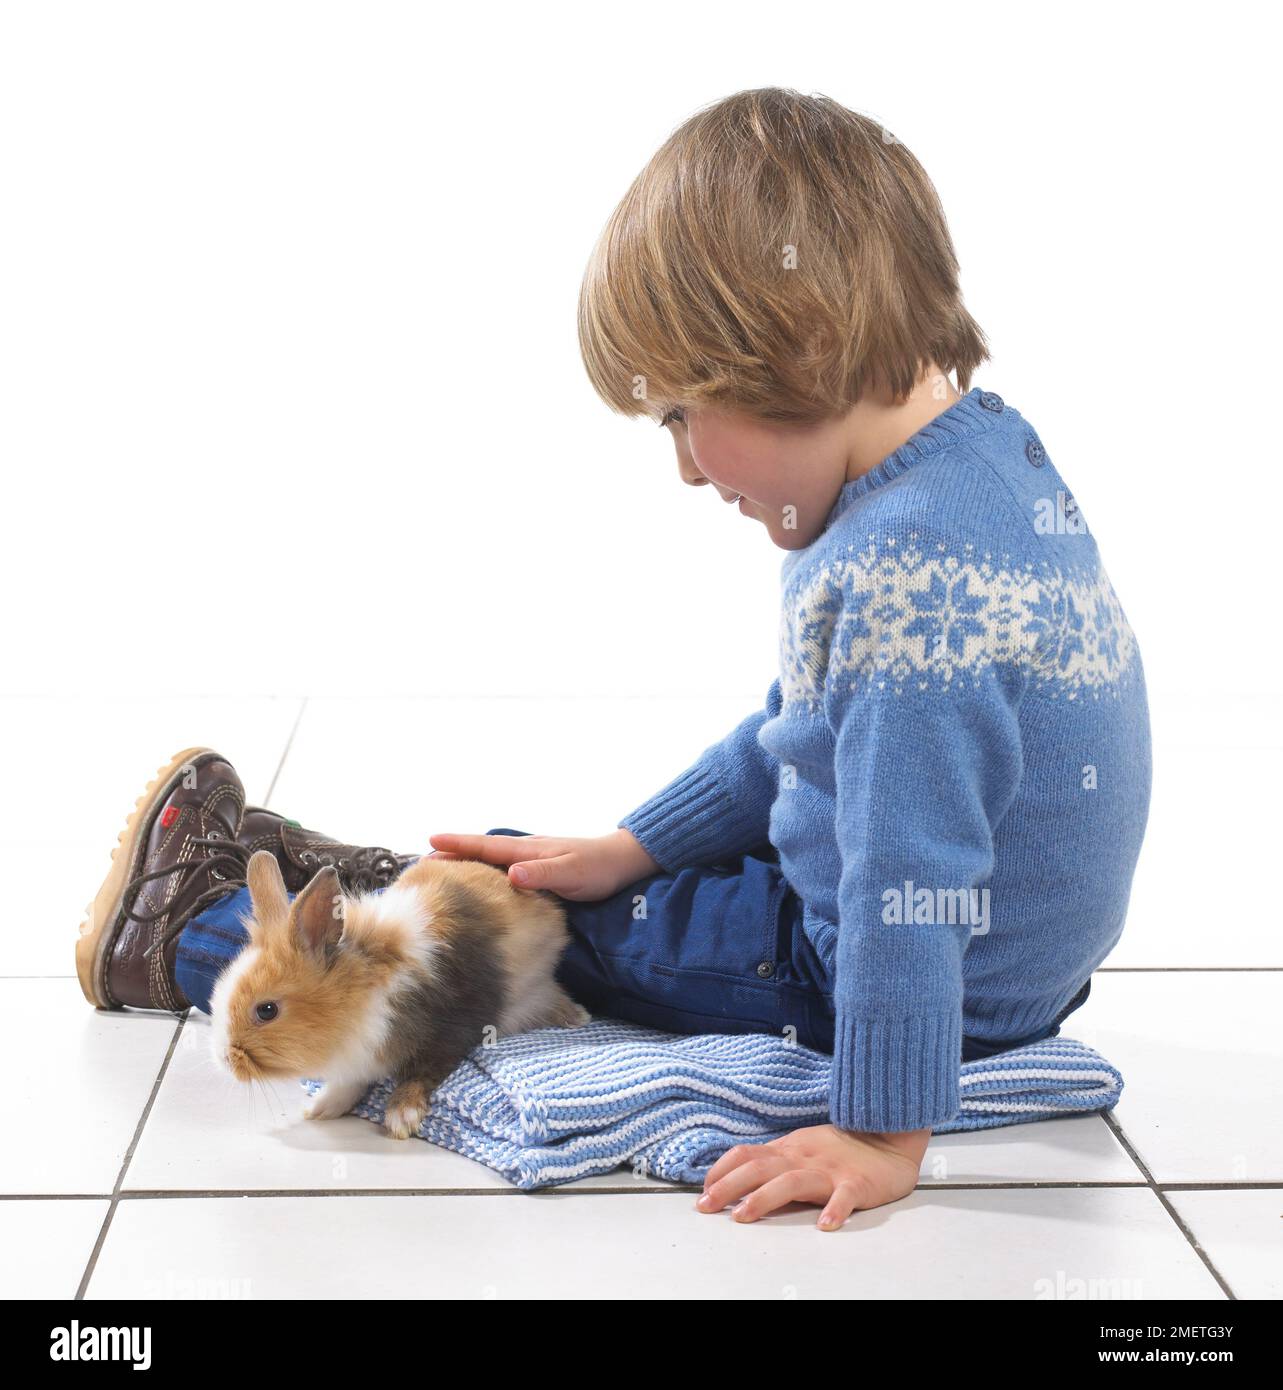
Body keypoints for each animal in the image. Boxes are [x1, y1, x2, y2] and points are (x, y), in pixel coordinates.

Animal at [210, 848, 590, 1138]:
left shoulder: (449, 1031)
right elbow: (351, 1082)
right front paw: (323, 1107)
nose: (226, 1060)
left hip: (530, 994)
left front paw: (401, 1116)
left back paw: (577, 1017)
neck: (367, 986)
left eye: (267, 1010)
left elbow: (421, 1073)